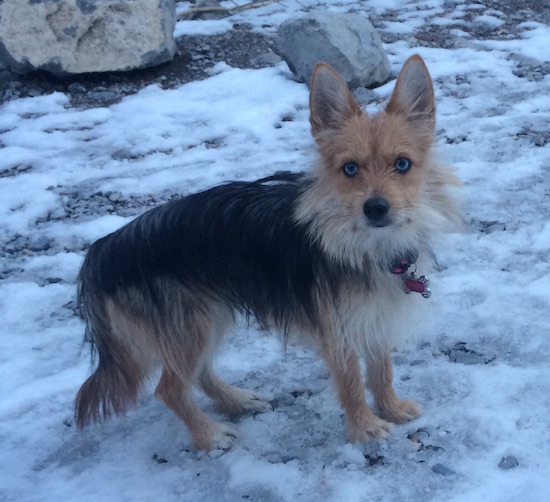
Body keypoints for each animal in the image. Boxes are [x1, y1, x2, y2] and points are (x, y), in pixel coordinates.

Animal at [73, 56, 462, 452]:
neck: (363, 244)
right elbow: (352, 381)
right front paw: (364, 428)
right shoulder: (337, 329)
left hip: (208, 317)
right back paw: (209, 434)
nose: (376, 208)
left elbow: (382, 369)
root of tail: (106, 246)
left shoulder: (373, 315)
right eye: (350, 168)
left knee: (199, 374)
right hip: (191, 326)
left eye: (403, 164)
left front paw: (392, 408)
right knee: (170, 390)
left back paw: (236, 401)